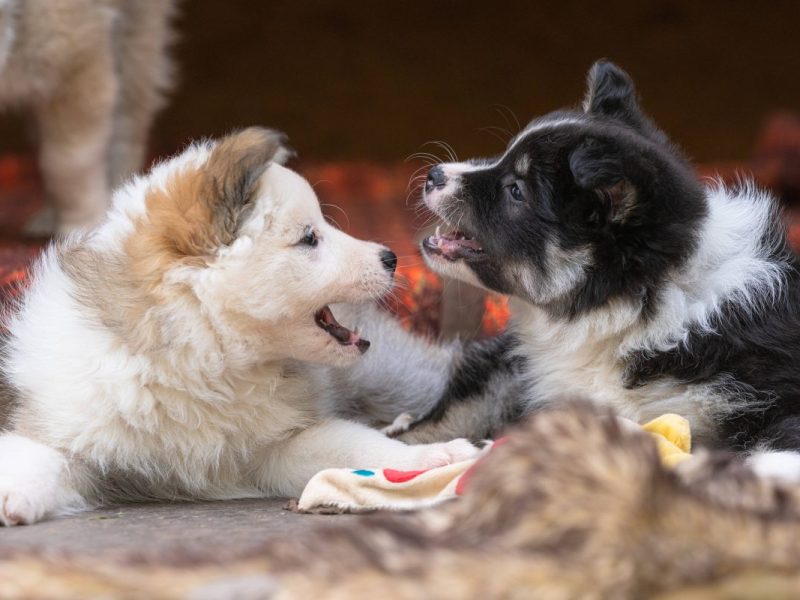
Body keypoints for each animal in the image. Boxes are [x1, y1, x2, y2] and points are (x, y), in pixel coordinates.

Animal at [0, 127, 478, 524]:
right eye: (310, 237)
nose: (391, 257)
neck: (206, 361)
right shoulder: (65, 426)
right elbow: (36, 456)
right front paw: (14, 494)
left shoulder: (278, 442)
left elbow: (362, 444)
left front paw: (432, 459)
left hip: (390, 380)